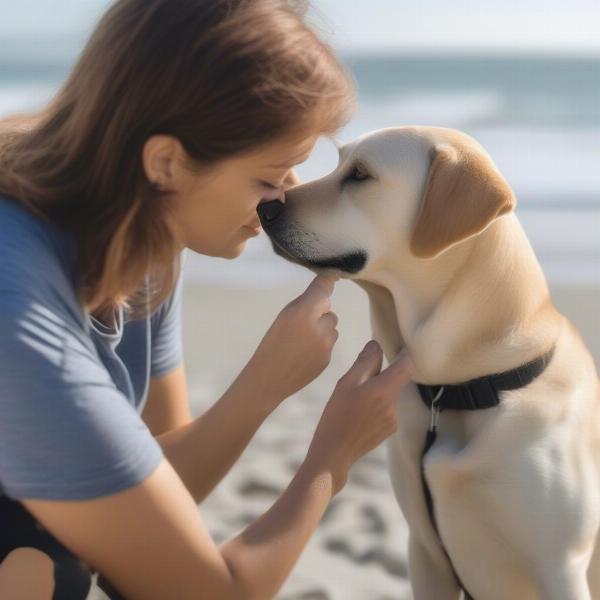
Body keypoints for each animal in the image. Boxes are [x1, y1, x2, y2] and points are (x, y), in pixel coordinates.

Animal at [256, 126, 600, 600]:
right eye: (339, 163)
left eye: (360, 175)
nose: (263, 207)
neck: (472, 387)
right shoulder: (425, 549)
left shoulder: (561, 569)